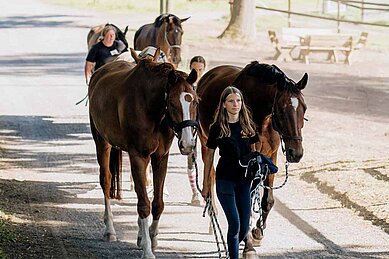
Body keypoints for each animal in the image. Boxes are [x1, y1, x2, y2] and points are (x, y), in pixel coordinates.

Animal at [88, 55, 197, 258]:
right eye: (172, 103)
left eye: (194, 102)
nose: (188, 144)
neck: (152, 109)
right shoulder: (138, 156)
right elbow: (144, 204)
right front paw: (147, 249)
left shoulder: (161, 157)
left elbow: (157, 202)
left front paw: (151, 238)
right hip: (102, 141)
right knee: (106, 180)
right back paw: (110, 230)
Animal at [196, 61, 308, 250]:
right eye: (282, 110)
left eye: (304, 108)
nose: (296, 153)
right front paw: (248, 240)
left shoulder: (270, 156)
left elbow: (266, 200)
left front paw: (258, 232)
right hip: (205, 141)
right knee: (210, 176)